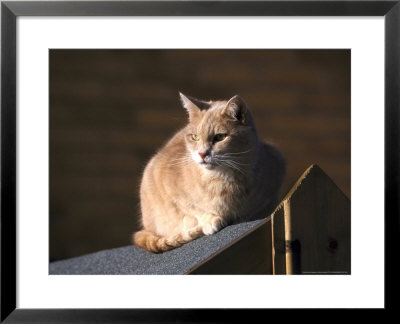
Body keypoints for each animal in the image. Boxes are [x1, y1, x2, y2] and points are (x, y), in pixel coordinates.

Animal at [133, 93, 286, 253]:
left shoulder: (277, 168)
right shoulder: (168, 186)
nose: (202, 153)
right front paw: (210, 220)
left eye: (220, 137)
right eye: (194, 137)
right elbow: (193, 208)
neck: (223, 179)